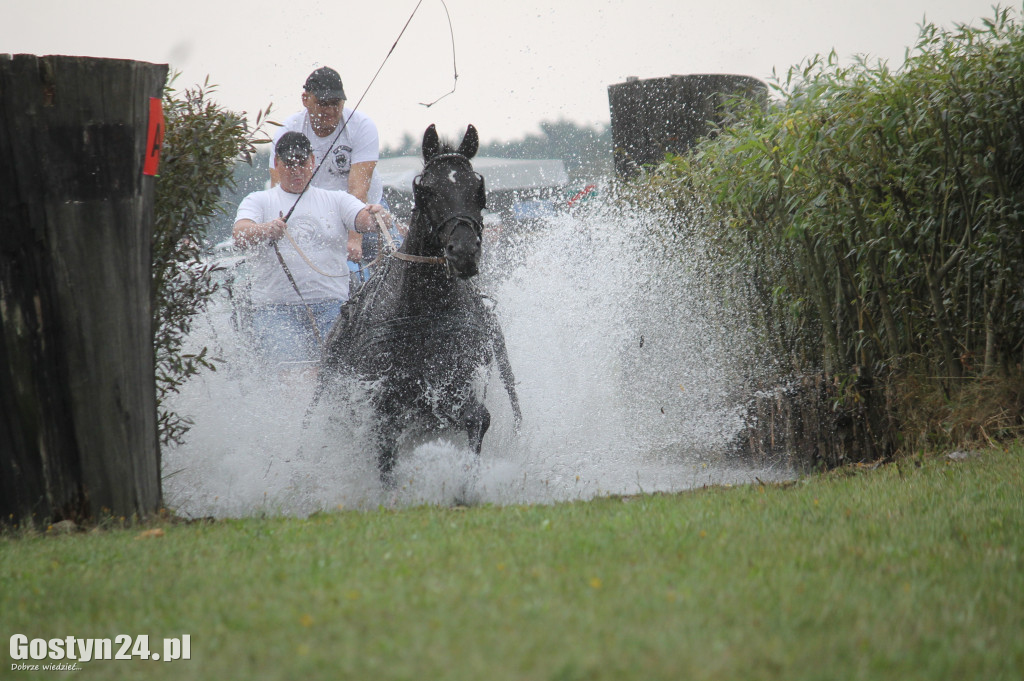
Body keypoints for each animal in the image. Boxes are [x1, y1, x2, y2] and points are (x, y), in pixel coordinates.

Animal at [311, 122, 520, 483]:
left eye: (478, 189)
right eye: (426, 190)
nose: (464, 252)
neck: (426, 314)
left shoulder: (457, 387)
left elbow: (478, 419)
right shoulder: (384, 404)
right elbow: (385, 452)